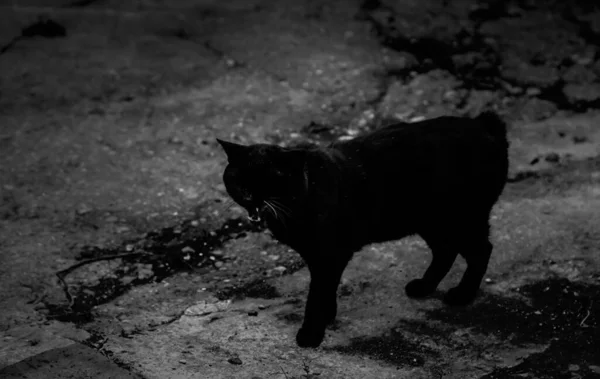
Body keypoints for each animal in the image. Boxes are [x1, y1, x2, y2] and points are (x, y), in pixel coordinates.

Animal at [218, 111, 508, 348]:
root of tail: (483, 123)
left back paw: (462, 294)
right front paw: (327, 315)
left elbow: (317, 294)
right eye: (239, 179)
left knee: (481, 250)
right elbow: (326, 289)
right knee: (446, 251)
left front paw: (311, 333)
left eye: (268, 179)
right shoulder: (321, 257)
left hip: (463, 219)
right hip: (433, 222)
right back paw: (424, 287)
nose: (250, 195)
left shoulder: (329, 254)